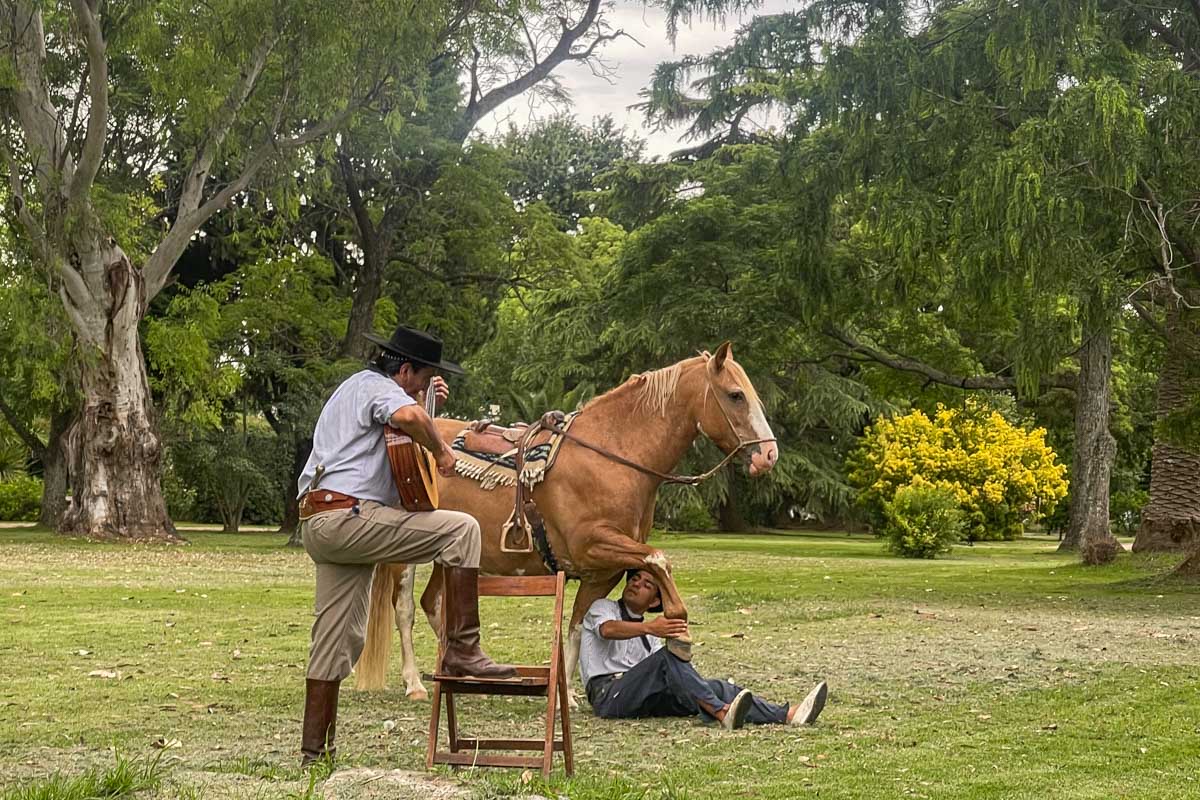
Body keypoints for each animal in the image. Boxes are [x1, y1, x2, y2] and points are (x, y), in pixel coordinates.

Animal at [353, 342, 779, 705]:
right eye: (735, 395)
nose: (769, 455)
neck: (612, 456)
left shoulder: (602, 570)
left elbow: (577, 625)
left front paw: (569, 694)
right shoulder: (595, 543)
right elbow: (658, 559)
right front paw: (679, 630)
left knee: (435, 603)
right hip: (407, 554)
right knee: (405, 608)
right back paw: (414, 683)